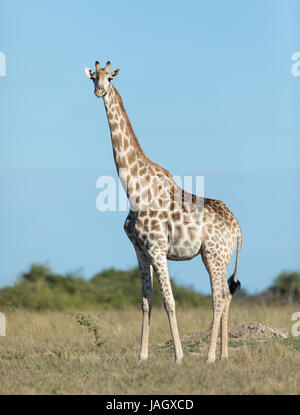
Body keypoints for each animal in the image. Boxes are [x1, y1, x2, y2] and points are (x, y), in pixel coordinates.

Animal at [84, 61, 241, 364]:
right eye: (92, 77)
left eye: (109, 78)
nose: (99, 91)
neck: (134, 190)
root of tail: (238, 228)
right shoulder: (140, 250)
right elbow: (146, 302)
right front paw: (142, 355)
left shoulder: (157, 248)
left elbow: (170, 301)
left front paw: (179, 356)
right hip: (216, 256)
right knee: (226, 295)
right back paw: (225, 355)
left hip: (214, 255)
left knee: (218, 297)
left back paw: (210, 357)